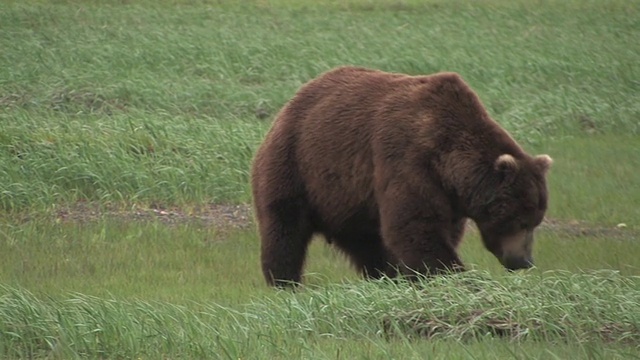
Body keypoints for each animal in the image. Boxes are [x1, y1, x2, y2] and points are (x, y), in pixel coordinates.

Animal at [252, 67, 552, 286]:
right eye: (520, 220)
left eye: (536, 220)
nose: (525, 261)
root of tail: (284, 110)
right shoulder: (408, 159)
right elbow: (415, 224)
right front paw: (453, 274)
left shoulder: (449, 194)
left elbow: (438, 229)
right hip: (295, 165)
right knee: (285, 227)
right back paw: (285, 282)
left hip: (349, 201)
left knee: (367, 242)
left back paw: (384, 275)